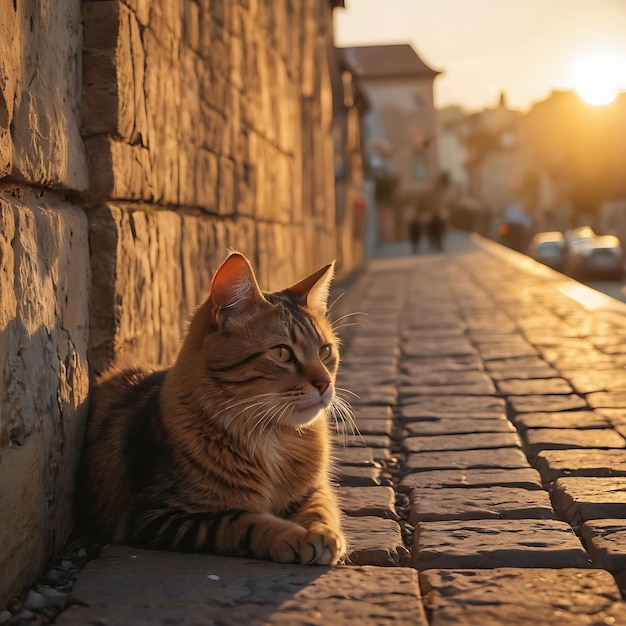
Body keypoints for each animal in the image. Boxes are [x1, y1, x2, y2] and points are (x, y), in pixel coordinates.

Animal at [79, 251, 346, 564]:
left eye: (325, 352)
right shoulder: (155, 514)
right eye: (282, 353)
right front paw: (296, 537)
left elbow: (320, 508)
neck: (273, 436)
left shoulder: (314, 489)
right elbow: (244, 522)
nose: (325, 384)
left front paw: (323, 533)